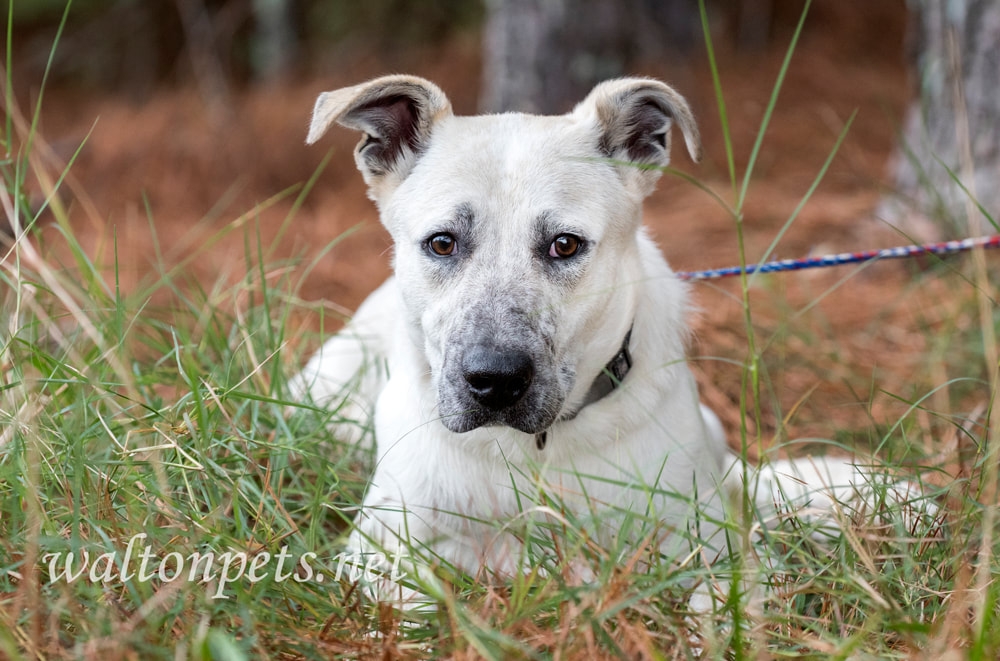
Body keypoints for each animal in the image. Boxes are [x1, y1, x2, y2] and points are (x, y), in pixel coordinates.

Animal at [292, 75, 928, 600]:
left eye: (565, 245)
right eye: (442, 243)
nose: (494, 382)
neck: (535, 452)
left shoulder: (723, 551)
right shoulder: (378, 549)